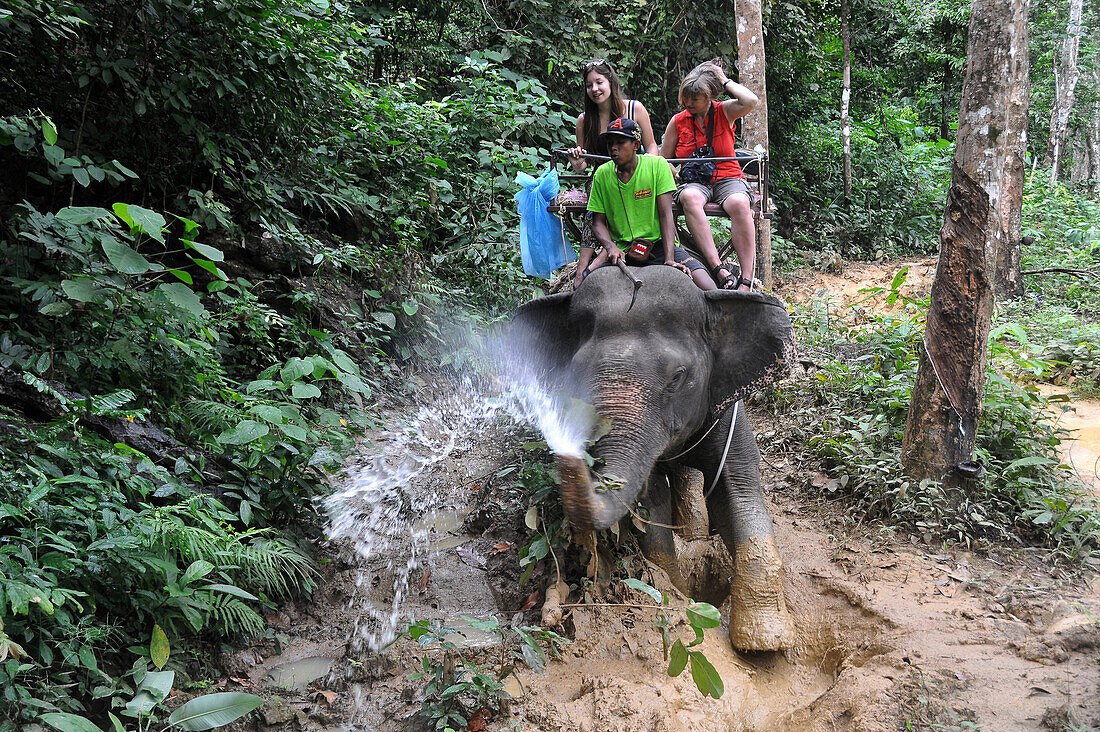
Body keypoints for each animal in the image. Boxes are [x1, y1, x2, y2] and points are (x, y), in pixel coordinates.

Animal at [506, 264, 800, 651]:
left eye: (678, 376)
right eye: (573, 377)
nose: (568, 449)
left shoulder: (727, 407)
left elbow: (738, 488)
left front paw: (766, 641)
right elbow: (652, 502)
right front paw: (676, 591)